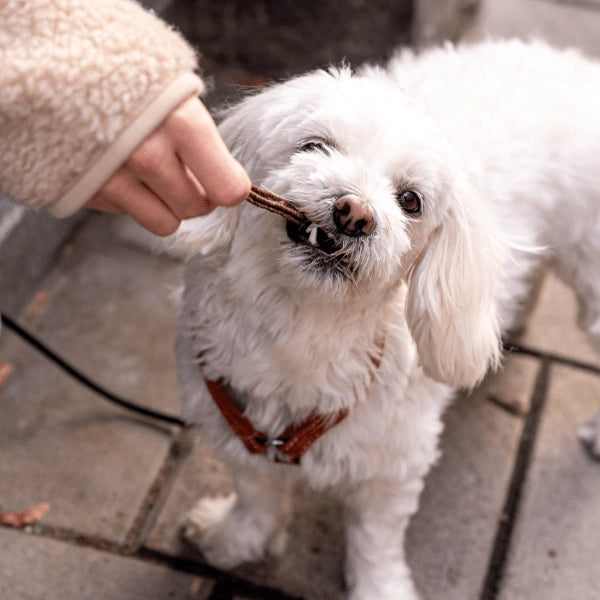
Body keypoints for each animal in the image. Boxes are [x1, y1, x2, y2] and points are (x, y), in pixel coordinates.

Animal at [171, 39, 600, 596]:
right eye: (315, 147)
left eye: (410, 200)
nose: (354, 214)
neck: (305, 325)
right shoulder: (237, 427)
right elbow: (255, 494)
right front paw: (236, 537)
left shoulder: (395, 463)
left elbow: (374, 540)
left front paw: (380, 588)